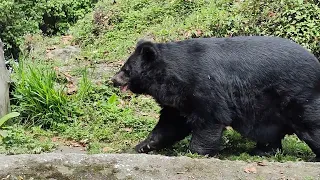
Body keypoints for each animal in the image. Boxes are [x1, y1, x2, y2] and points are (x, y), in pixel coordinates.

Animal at [111, 35, 320, 161]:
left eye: (126, 69)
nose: (113, 80)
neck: (172, 77)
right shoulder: (179, 100)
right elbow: (171, 123)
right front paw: (144, 146)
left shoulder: (204, 85)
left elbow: (209, 118)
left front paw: (195, 152)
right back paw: (262, 151)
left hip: (298, 96)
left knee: (311, 127)